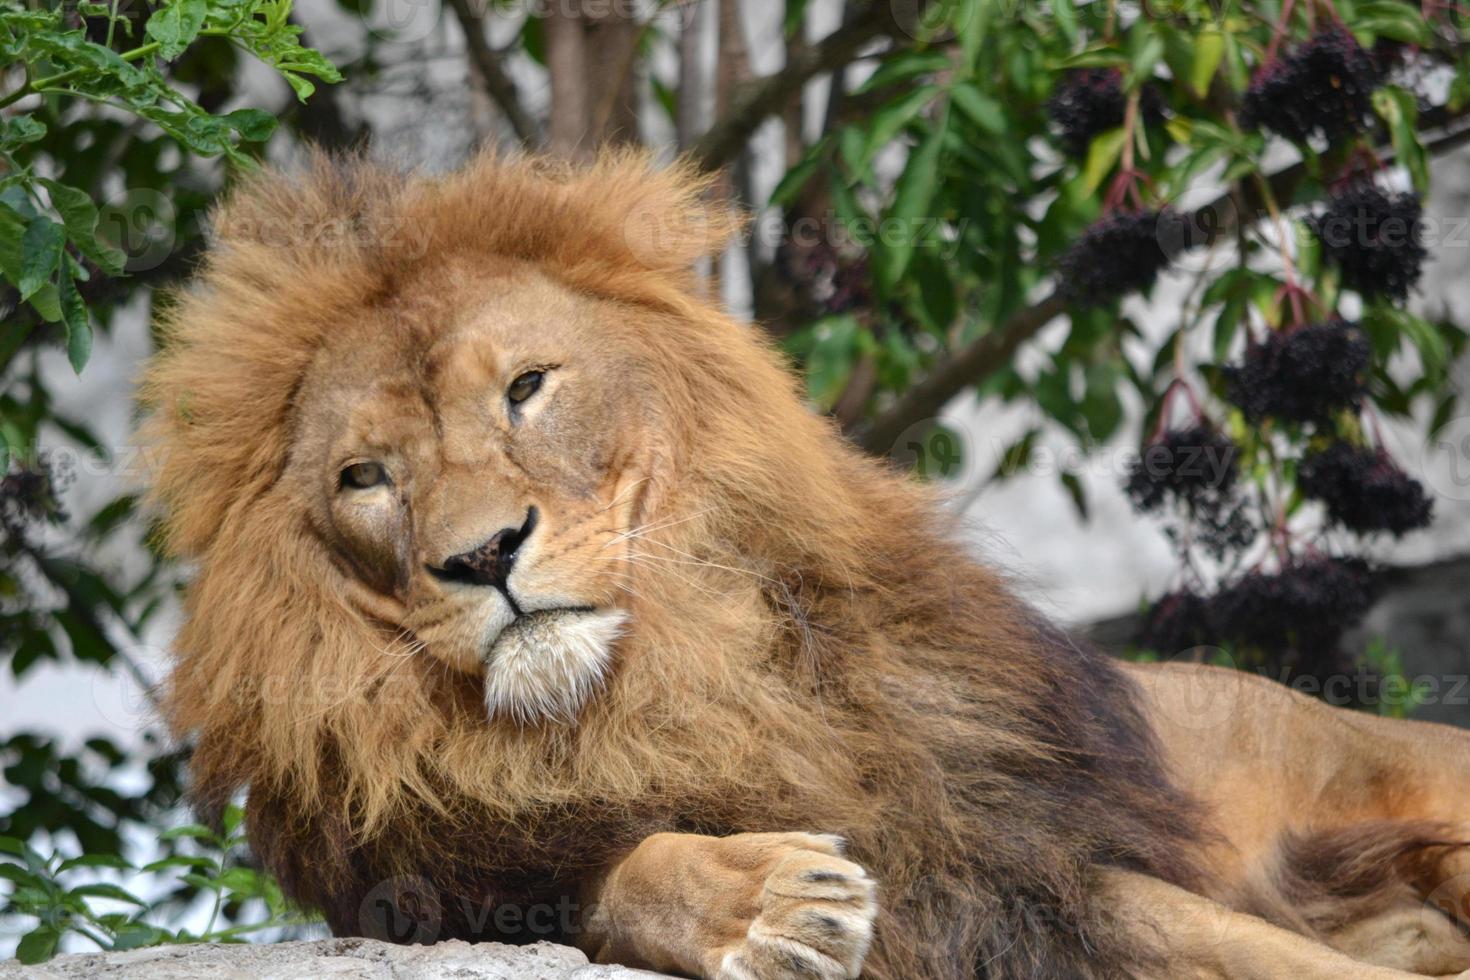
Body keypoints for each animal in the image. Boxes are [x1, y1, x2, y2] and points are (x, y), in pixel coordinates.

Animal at [143, 149, 1470, 975]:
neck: (667, 679)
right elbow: (618, 874)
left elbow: (1270, 952)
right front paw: (768, 902)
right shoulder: (437, 885)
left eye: (525, 386)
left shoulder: (1026, 865)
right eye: (365, 476)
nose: (483, 553)